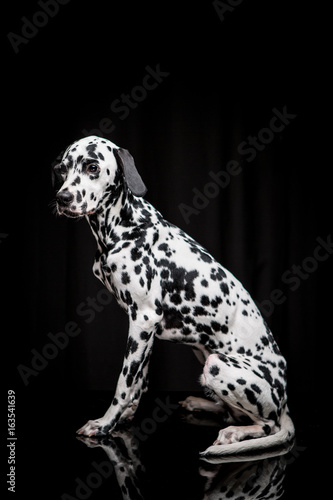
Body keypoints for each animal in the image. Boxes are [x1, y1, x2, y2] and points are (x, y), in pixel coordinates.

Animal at [53, 134, 294, 460]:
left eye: (92, 167)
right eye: (62, 169)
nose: (62, 198)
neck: (124, 229)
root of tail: (284, 401)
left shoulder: (142, 321)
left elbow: (123, 383)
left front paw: (105, 423)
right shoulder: (144, 328)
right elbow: (138, 381)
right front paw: (125, 416)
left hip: (217, 364)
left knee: (265, 424)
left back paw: (235, 433)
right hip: (202, 352)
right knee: (229, 410)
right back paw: (202, 403)